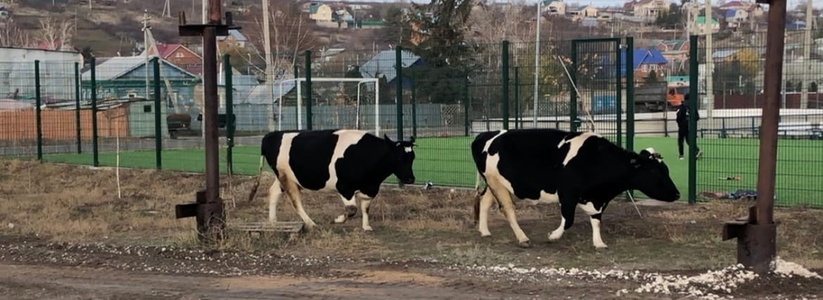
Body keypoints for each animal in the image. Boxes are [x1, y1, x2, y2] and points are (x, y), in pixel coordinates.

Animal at [246, 129, 418, 232]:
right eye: (398, 158)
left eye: (412, 158)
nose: (410, 178)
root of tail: (272, 135)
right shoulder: (344, 186)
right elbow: (352, 210)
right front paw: (337, 219)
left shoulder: (369, 187)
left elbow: (365, 207)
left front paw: (366, 226)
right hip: (286, 178)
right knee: (295, 202)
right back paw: (311, 223)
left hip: (284, 177)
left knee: (274, 192)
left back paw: (273, 222)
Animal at [474, 128, 680, 248]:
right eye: (655, 171)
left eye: (666, 170)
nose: (677, 194)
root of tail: (486, 134)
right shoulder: (567, 193)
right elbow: (569, 220)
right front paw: (553, 236)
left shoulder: (598, 199)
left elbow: (596, 220)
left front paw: (599, 242)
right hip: (496, 183)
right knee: (507, 209)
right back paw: (523, 238)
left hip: (498, 184)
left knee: (484, 201)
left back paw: (484, 231)